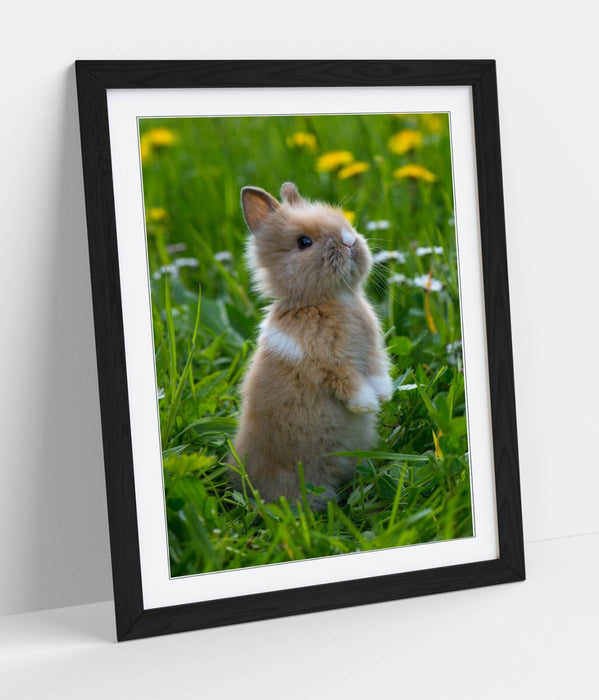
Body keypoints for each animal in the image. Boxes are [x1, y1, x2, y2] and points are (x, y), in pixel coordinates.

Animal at [230, 182, 392, 507]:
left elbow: (377, 368)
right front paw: (367, 405)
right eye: (304, 242)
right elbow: (348, 380)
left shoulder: (371, 349)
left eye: (345, 223)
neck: (330, 299)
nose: (348, 241)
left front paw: (383, 396)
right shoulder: (326, 361)